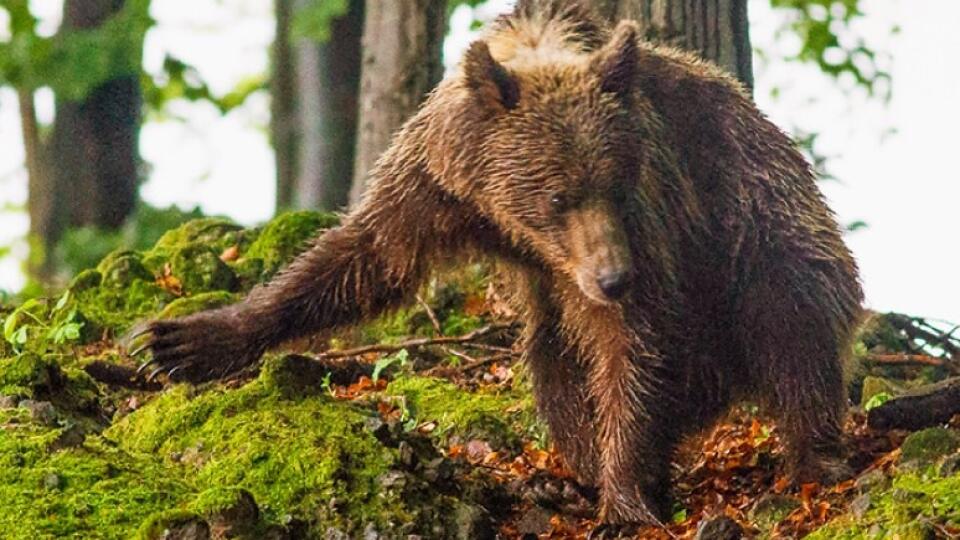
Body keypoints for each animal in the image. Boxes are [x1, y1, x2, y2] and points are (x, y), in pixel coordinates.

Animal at [135, 2, 864, 528]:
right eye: (557, 195)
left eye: (617, 183)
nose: (612, 278)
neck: (504, 217)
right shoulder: (434, 184)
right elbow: (365, 259)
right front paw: (185, 341)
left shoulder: (649, 219)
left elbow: (633, 343)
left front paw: (626, 496)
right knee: (553, 365)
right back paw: (577, 469)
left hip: (755, 216)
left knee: (790, 321)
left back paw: (812, 458)